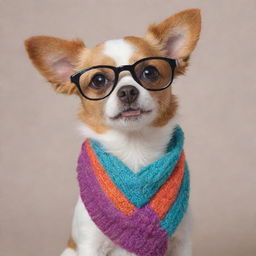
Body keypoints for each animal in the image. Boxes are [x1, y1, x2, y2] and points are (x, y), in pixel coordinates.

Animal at [25, 8, 202, 256]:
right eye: (98, 80)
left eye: (149, 71)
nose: (127, 91)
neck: (134, 149)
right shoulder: (90, 244)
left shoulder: (181, 243)